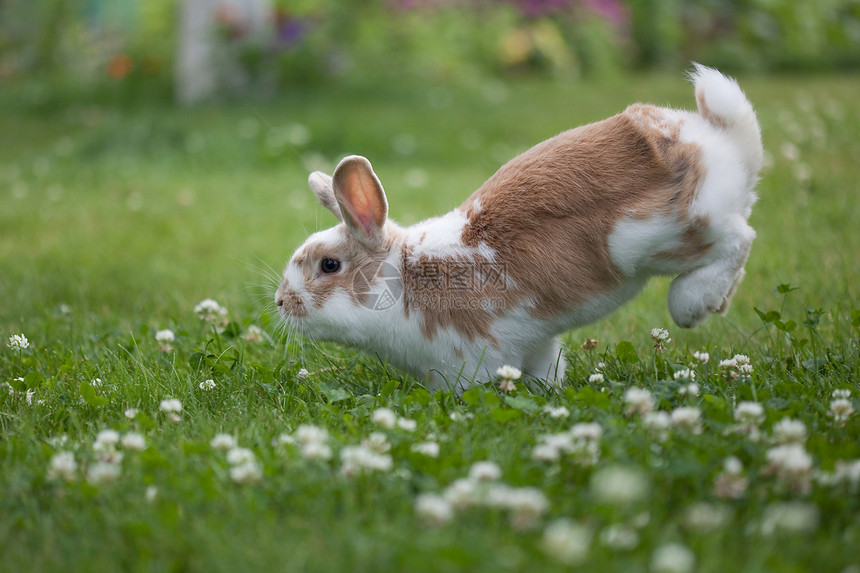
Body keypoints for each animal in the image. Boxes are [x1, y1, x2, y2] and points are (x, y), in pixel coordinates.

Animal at [274, 63, 760, 394]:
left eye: (329, 265)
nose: (280, 302)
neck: (404, 277)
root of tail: (718, 140)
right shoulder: (535, 344)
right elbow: (547, 369)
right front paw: (550, 392)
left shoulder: (468, 357)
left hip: (660, 238)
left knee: (739, 240)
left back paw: (693, 305)